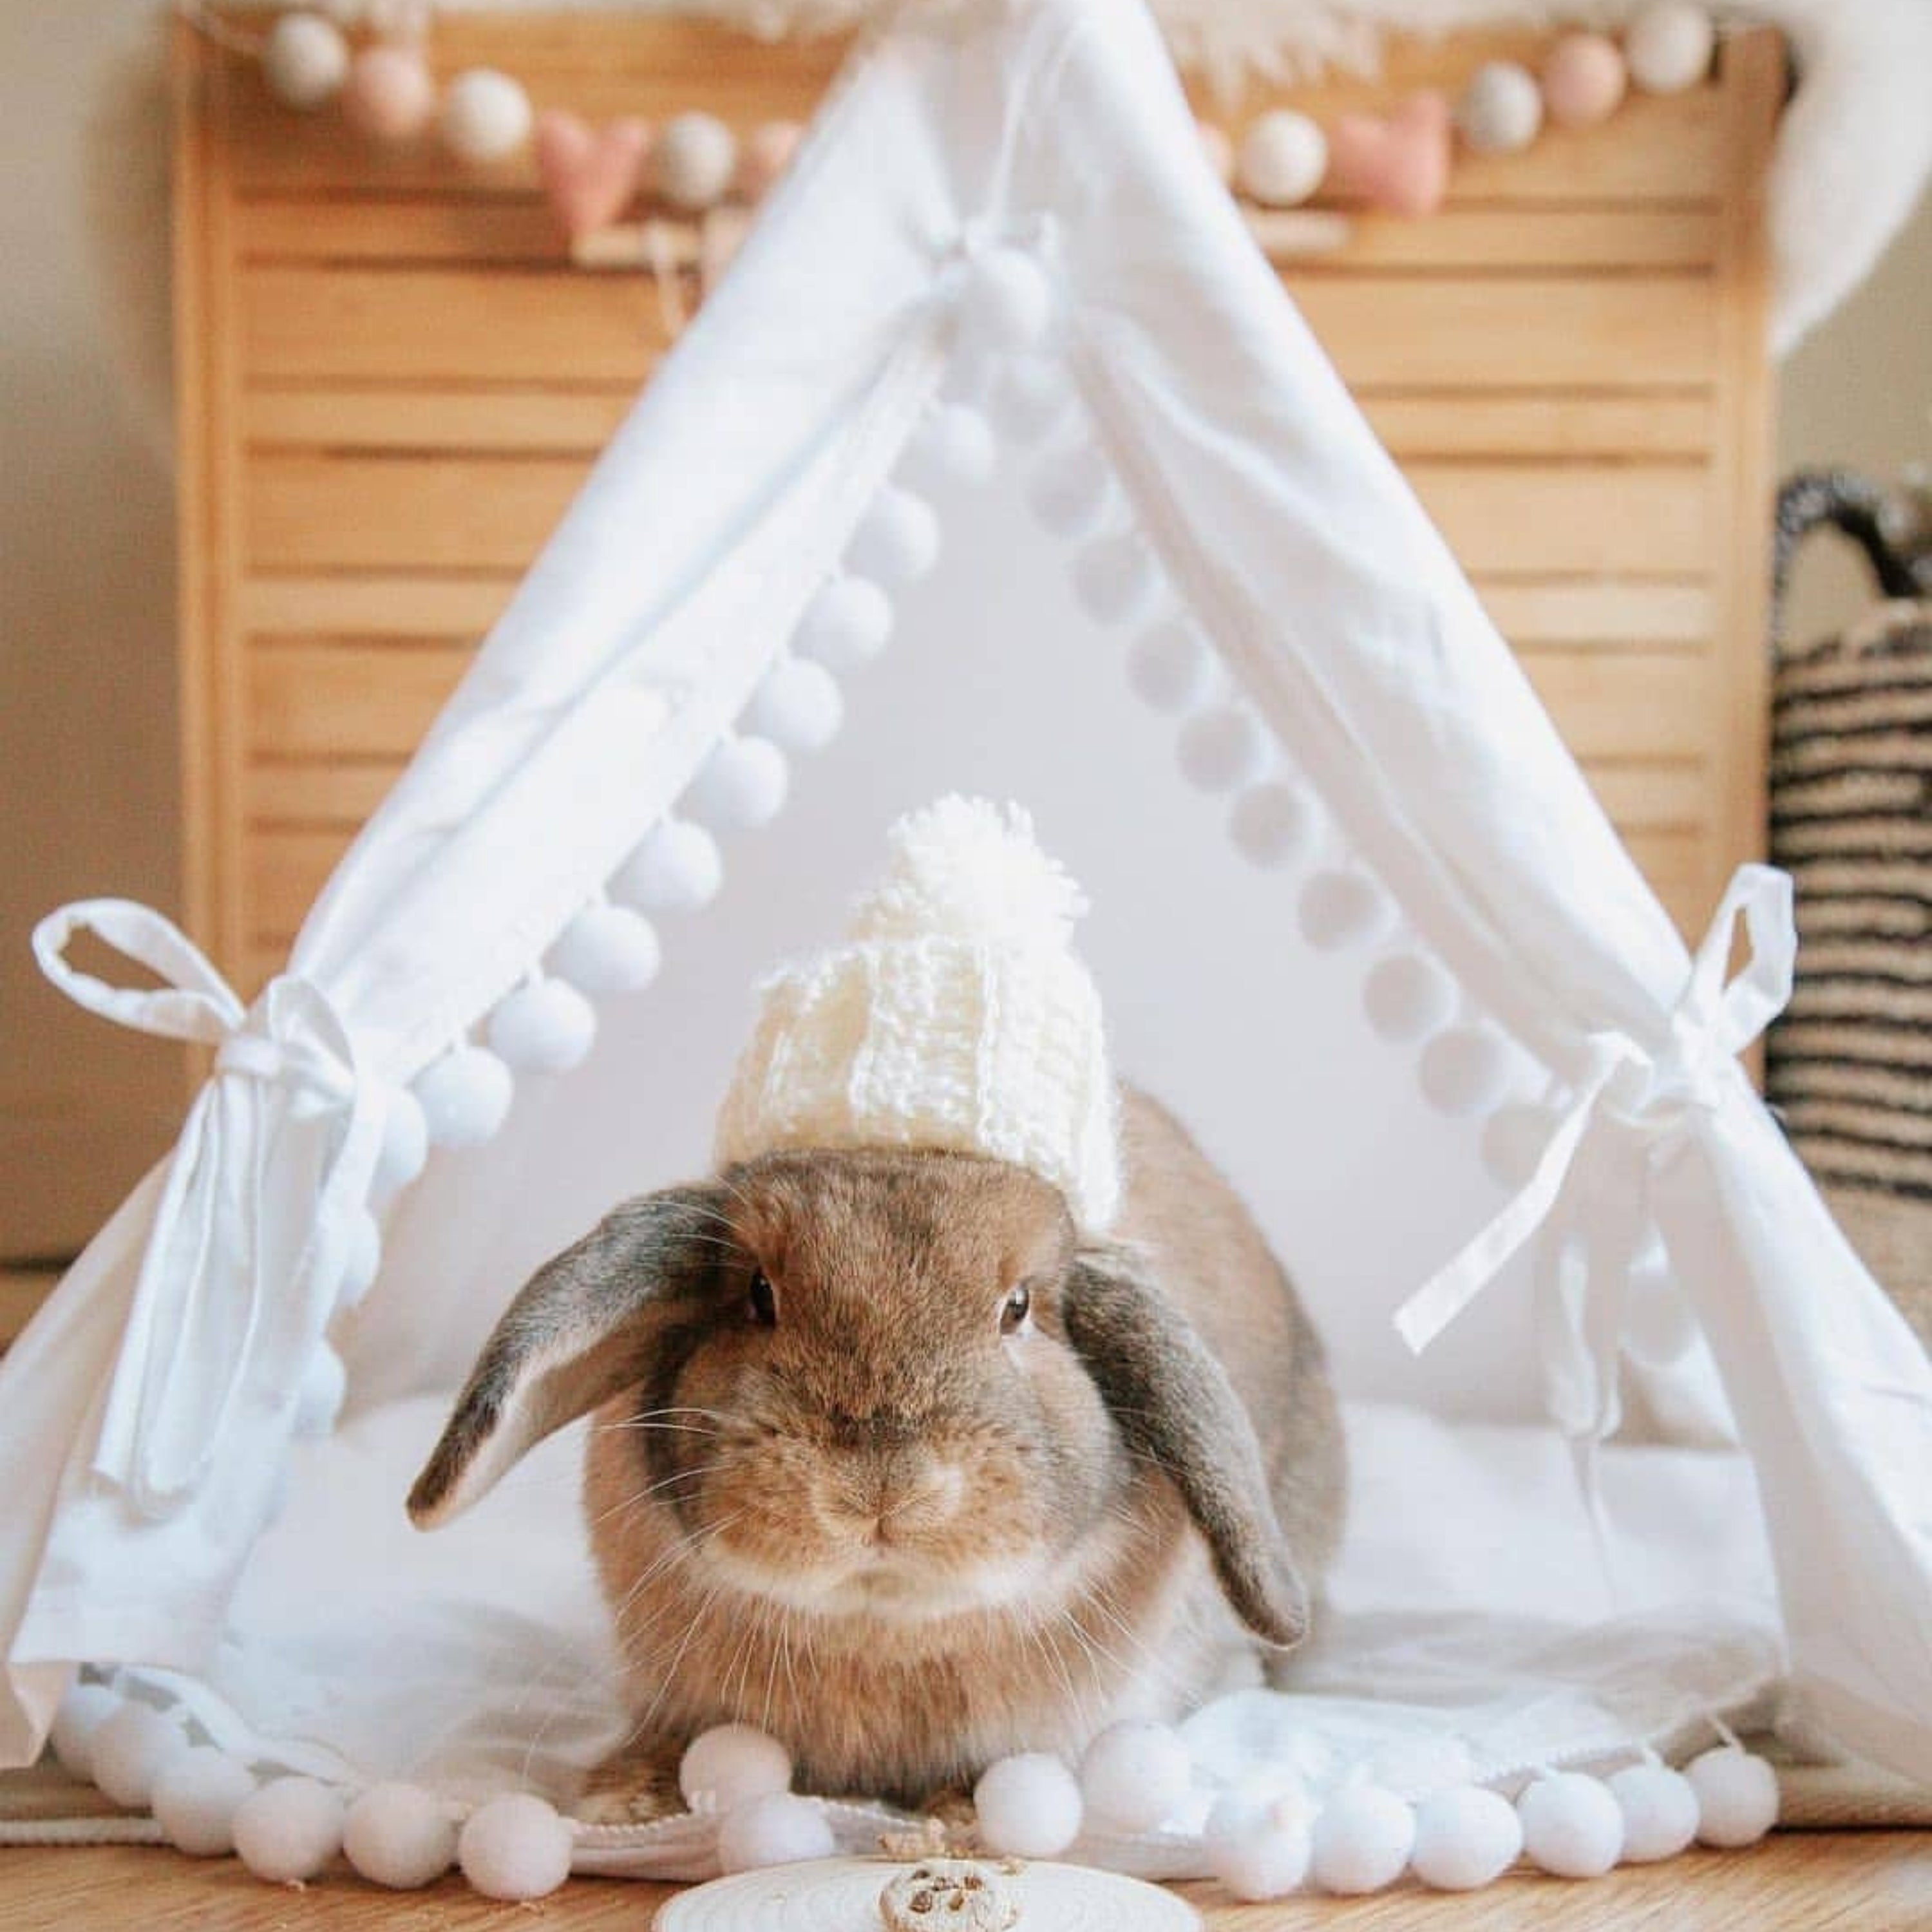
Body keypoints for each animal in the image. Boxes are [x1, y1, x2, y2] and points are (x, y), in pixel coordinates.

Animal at [407, 1086, 1346, 1821]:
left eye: (1018, 1307)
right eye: (759, 1295)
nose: (881, 1487)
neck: (878, 1627)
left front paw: (962, 1815)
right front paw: (625, 1796)